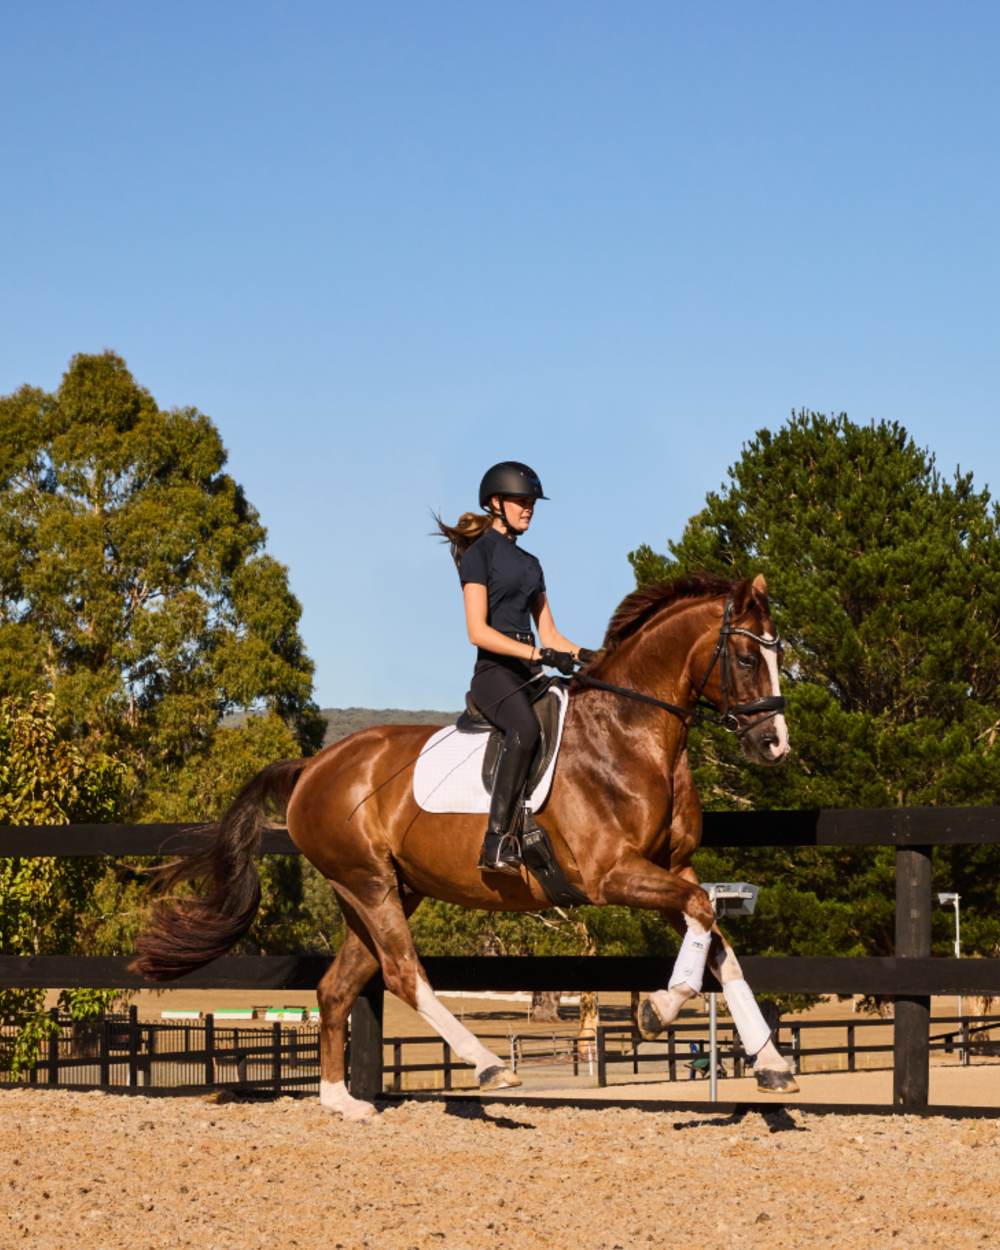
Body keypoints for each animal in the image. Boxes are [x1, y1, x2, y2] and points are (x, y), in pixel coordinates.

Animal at [131, 571, 797, 1119]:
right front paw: (657, 1010)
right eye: (745, 657)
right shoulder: (611, 875)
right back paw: (490, 1066)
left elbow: (717, 942)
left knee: (337, 987)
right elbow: (705, 916)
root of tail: (313, 767)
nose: (775, 744)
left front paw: (770, 1064)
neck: (629, 735)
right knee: (404, 975)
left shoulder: (669, 869)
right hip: (371, 884)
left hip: (381, 889)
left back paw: (342, 1101)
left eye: (778, 655)